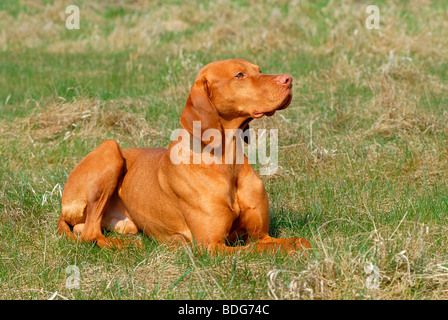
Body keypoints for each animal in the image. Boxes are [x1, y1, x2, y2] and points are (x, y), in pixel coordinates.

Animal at [57, 58, 312, 254]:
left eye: (259, 70)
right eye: (239, 75)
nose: (288, 79)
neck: (227, 163)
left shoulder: (261, 234)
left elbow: (298, 241)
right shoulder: (210, 246)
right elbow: (255, 250)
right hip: (111, 149)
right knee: (90, 233)